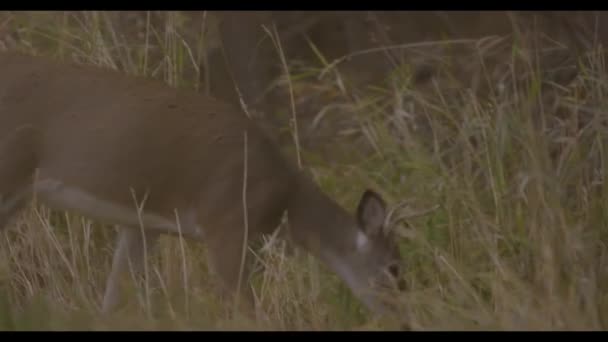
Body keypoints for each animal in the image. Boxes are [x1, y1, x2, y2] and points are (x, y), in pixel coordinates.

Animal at [1, 50, 408, 320]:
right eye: (394, 268)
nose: (404, 318)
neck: (282, 199)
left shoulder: (143, 224)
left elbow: (113, 299)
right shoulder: (227, 222)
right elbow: (247, 313)